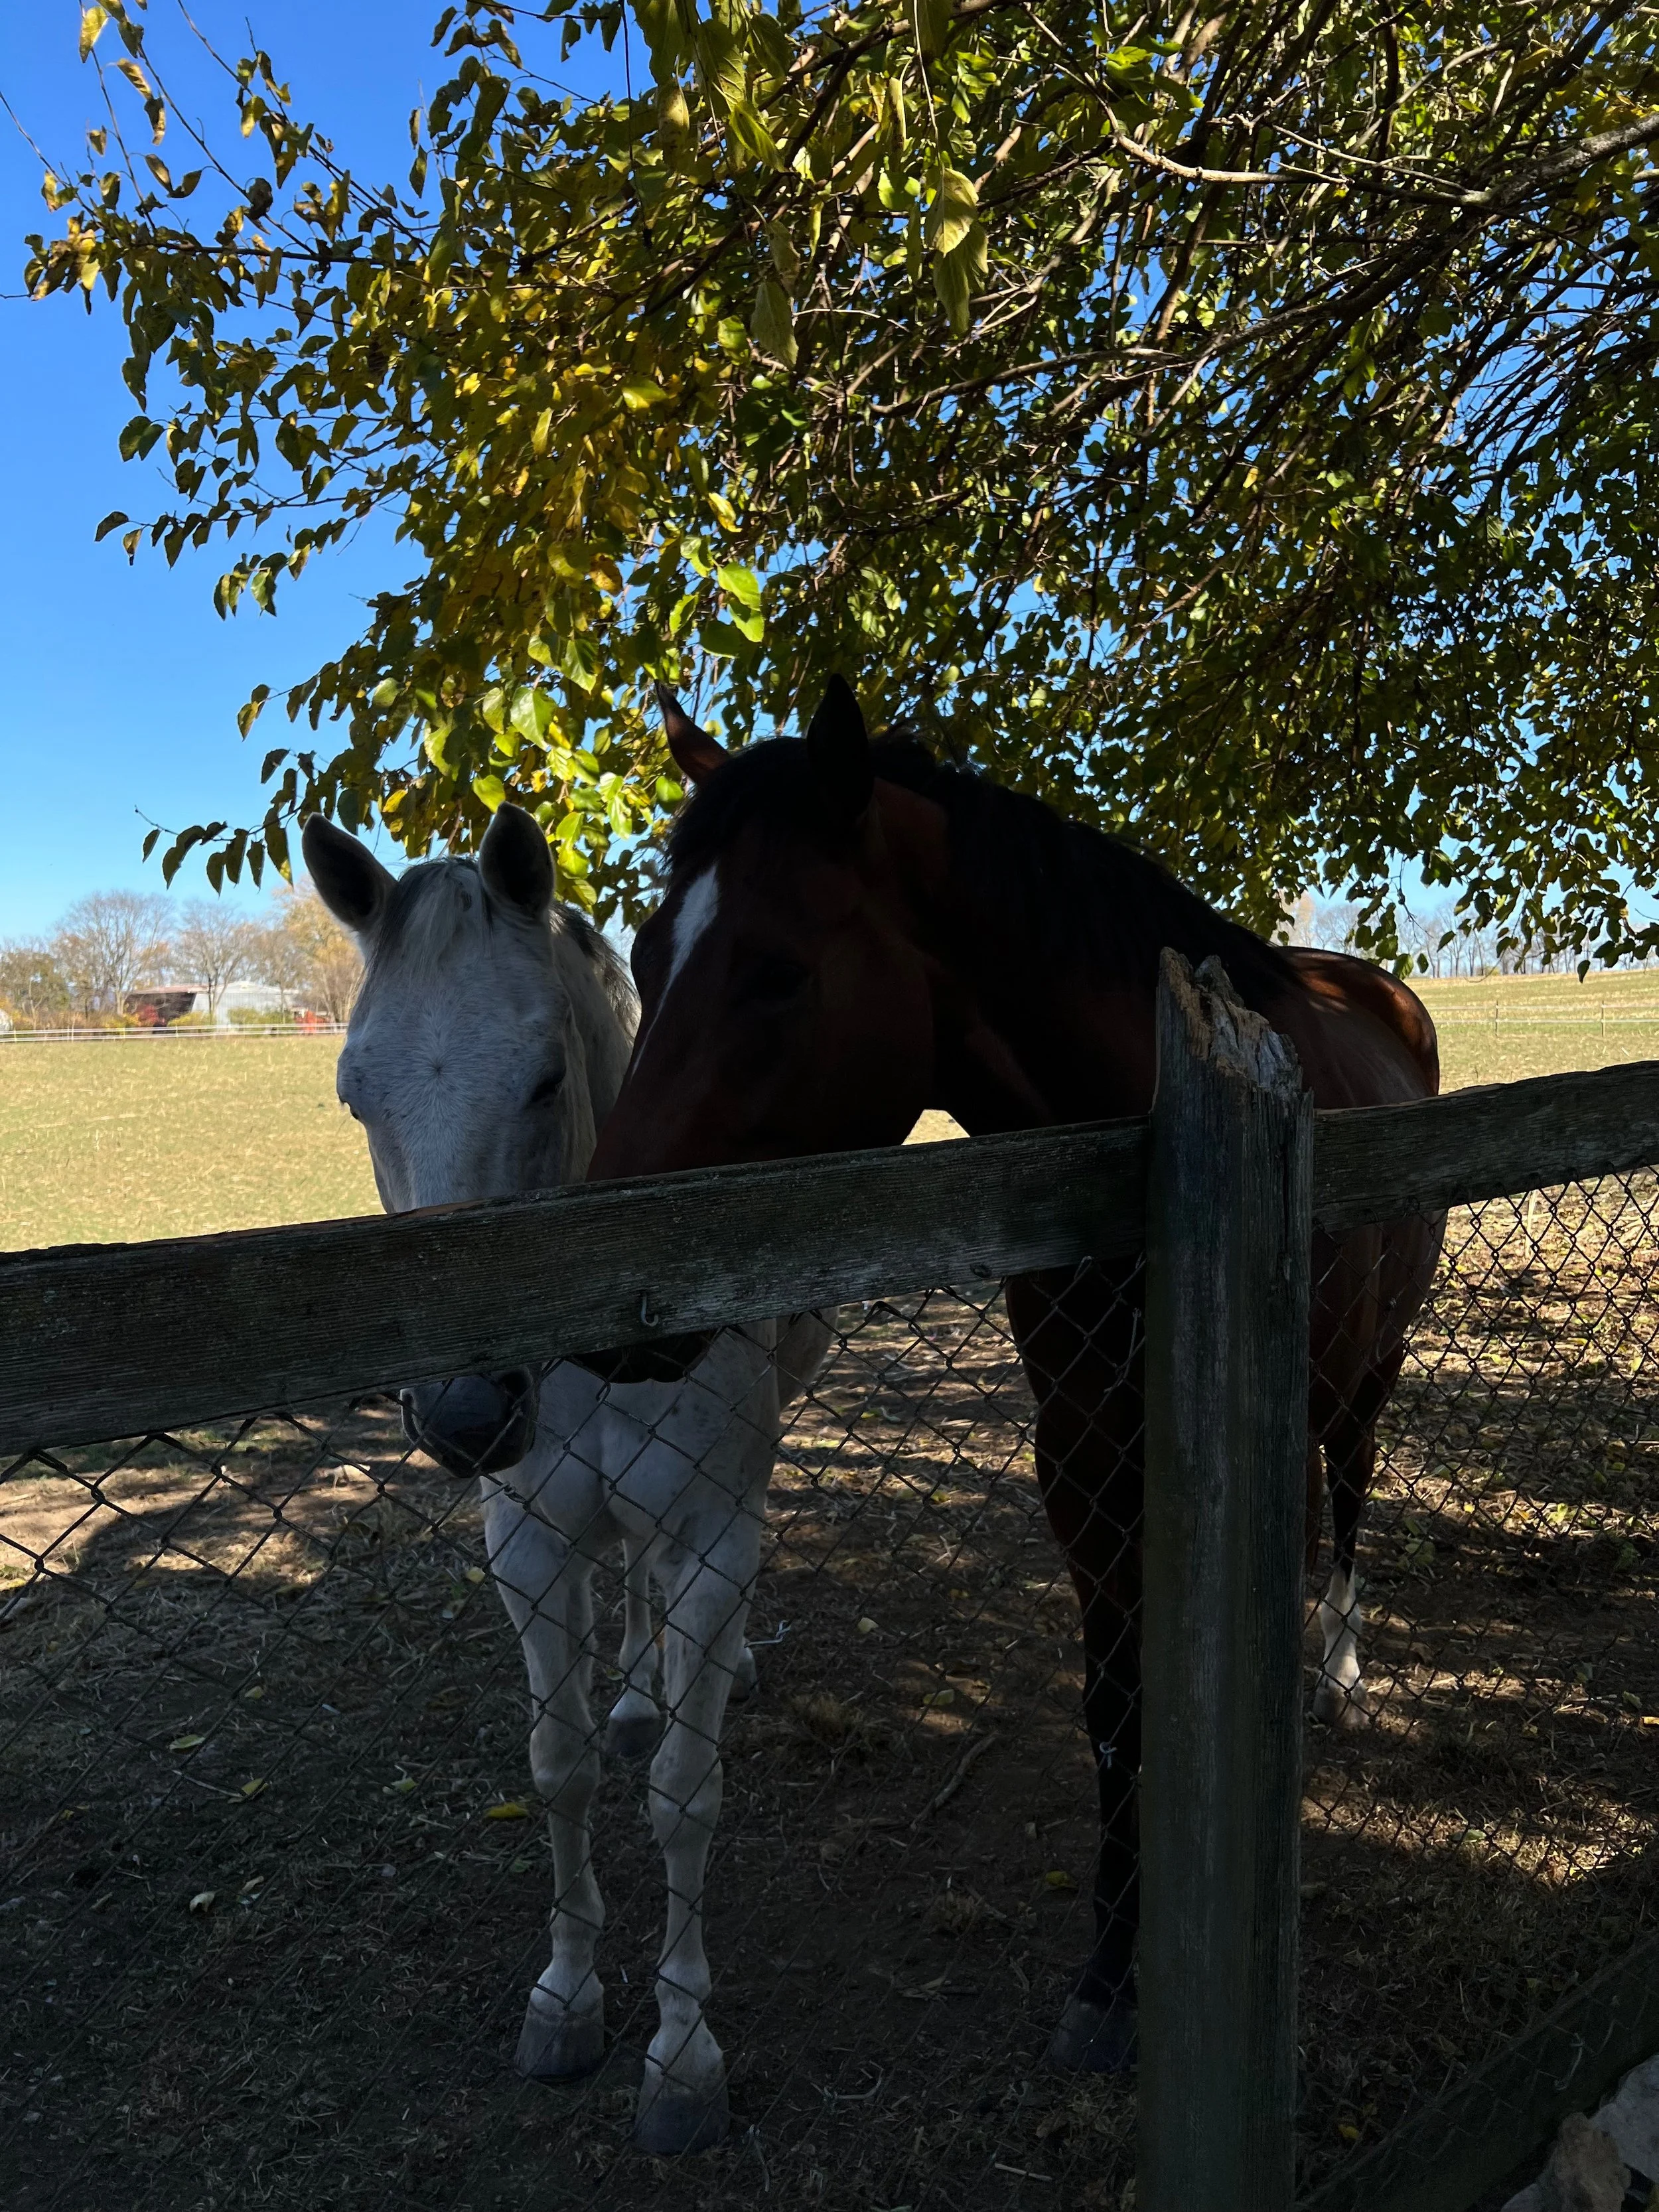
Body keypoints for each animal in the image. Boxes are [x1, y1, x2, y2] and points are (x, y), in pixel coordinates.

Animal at [303, 805, 831, 2154]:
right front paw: (568, 1995)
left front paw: (683, 2055)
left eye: (544, 1075)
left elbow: (686, 1795)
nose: (464, 1412)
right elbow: (564, 1768)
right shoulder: (531, 1546)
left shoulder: (711, 1536)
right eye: (353, 1095)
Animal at [582, 677, 1445, 2076]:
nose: (612, 1308)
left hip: (1372, 1366)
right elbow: (1112, 1707)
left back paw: (1341, 1669)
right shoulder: (1082, 1465)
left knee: (1356, 1489)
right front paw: (1108, 1970)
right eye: (649, 959)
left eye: (777, 969)